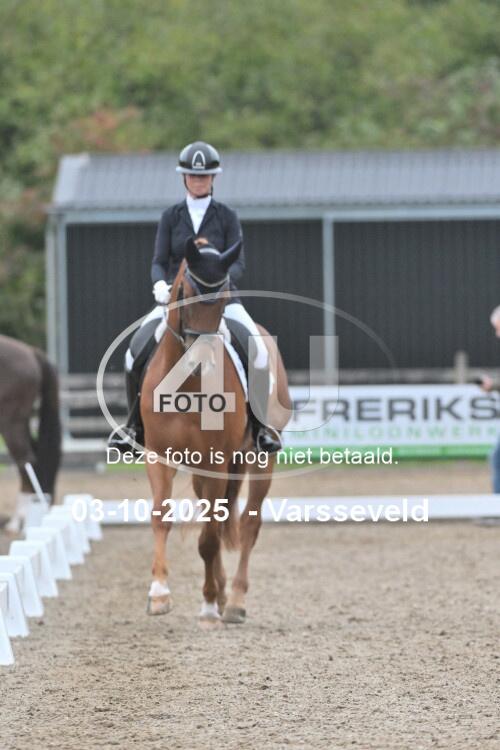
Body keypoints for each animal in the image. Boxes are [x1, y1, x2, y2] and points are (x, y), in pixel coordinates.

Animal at [141, 238, 291, 625]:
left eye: (223, 299)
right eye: (187, 293)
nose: (201, 361)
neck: (187, 384)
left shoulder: (217, 461)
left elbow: (209, 538)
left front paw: (209, 603)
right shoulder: (159, 456)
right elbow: (161, 518)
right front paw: (159, 594)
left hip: (258, 458)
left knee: (248, 524)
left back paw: (233, 601)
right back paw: (223, 595)